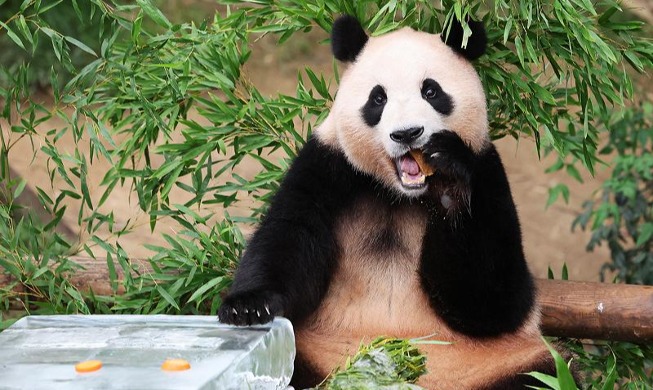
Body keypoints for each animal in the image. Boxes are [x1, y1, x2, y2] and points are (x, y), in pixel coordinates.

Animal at [218, 13, 560, 388]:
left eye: (431, 91)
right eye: (377, 99)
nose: (407, 133)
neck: (398, 195)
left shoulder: (487, 171)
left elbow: (499, 299)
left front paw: (450, 183)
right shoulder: (328, 166)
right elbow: (288, 238)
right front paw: (248, 306)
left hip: (505, 362)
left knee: (542, 373)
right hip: (312, 352)